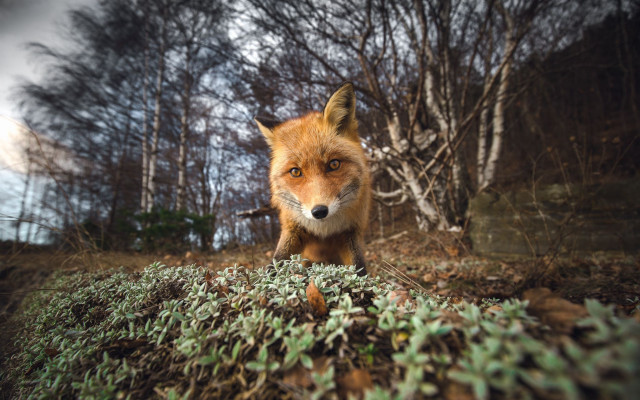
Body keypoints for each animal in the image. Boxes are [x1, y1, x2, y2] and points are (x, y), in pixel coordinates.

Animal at [255, 82, 371, 275]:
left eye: (334, 164)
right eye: (295, 172)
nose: (319, 211)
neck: (324, 229)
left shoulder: (351, 232)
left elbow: (359, 269)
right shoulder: (292, 228)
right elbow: (276, 263)